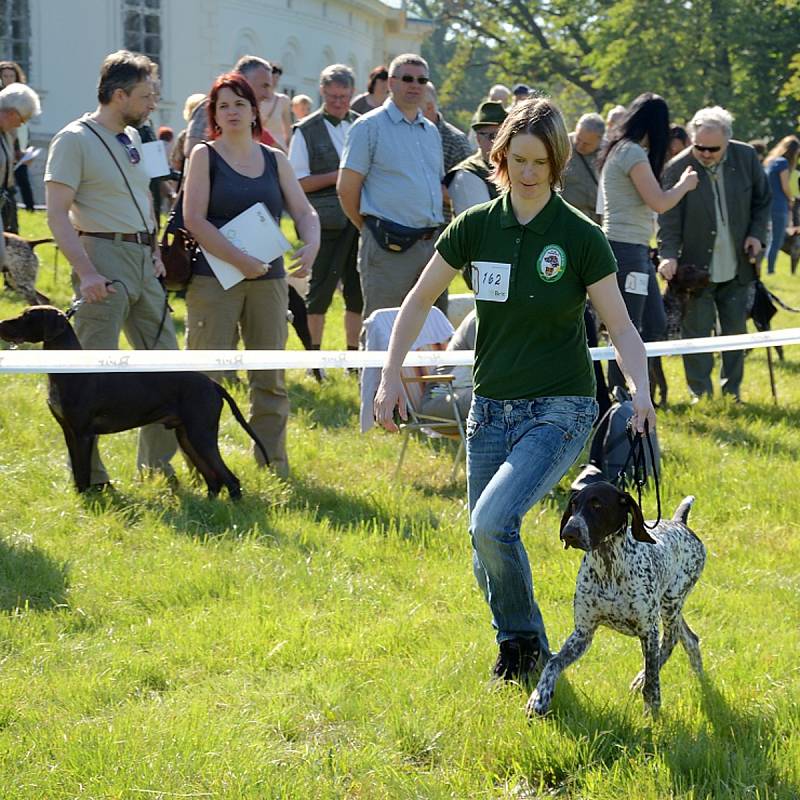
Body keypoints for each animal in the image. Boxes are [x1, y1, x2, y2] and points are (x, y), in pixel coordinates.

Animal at [524, 482, 708, 720]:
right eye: (574, 505)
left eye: (597, 505)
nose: (569, 533)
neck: (608, 565)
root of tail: (680, 523)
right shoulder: (583, 633)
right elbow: (553, 663)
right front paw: (538, 698)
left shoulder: (648, 632)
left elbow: (652, 681)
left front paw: (652, 710)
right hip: (670, 607)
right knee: (689, 638)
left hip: (671, 605)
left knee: (669, 642)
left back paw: (644, 679)